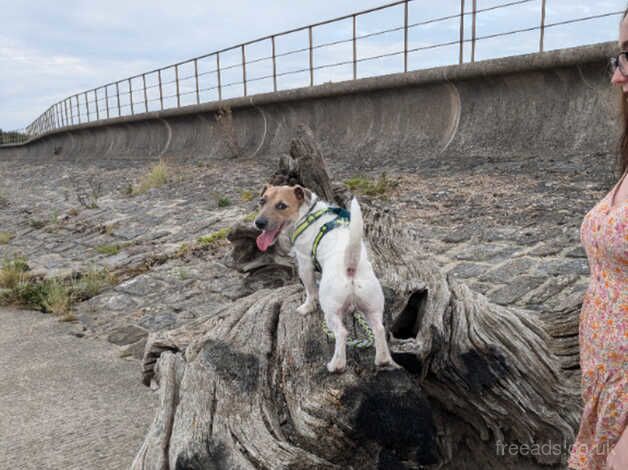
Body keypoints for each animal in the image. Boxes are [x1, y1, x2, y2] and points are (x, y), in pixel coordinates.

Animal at [254, 185, 398, 372]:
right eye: (262, 201)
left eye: (281, 206)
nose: (258, 223)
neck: (307, 214)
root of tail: (351, 266)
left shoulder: (305, 265)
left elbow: (310, 291)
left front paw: (307, 307)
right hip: (372, 307)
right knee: (379, 329)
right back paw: (383, 360)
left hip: (331, 310)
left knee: (341, 333)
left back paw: (336, 365)